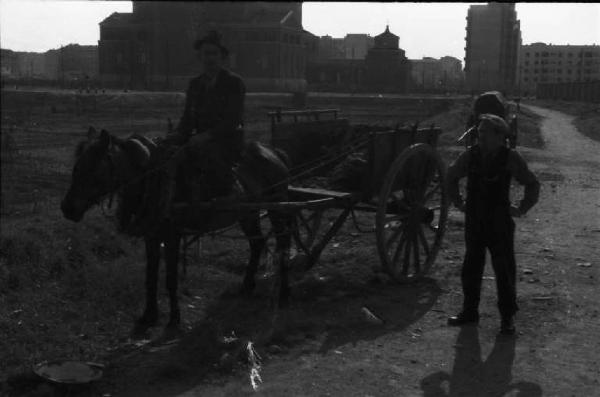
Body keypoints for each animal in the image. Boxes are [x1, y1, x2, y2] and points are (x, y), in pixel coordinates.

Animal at [61, 127, 292, 334]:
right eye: (76, 167)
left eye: (94, 169)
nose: (67, 208)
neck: (152, 180)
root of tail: (273, 152)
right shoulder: (151, 236)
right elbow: (150, 276)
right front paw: (149, 315)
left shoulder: (172, 236)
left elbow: (171, 278)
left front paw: (174, 319)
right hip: (248, 213)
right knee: (257, 244)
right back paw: (247, 286)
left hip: (277, 209)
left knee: (283, 245)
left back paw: (284, 293)